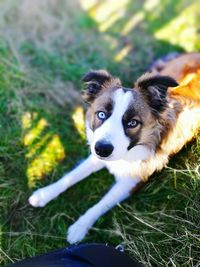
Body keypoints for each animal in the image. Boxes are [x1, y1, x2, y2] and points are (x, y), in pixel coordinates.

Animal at [28, 52, 200, 245]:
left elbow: (102, 203)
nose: (102, 149)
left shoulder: (131, 181)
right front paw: (44, 194)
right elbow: (72, 175)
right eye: (101, 114)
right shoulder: (97, 153)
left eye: (132, 123)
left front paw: (80, 227)